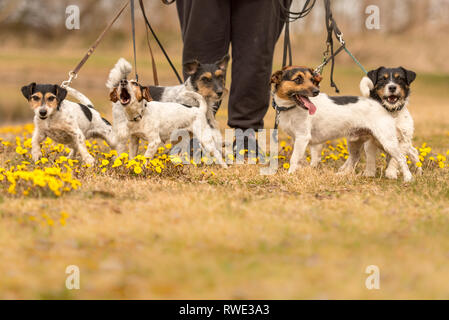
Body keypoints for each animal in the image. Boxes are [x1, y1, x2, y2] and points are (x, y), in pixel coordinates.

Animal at [272, 65, 412, 182]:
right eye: (297, 79)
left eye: (312, 80)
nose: (316, 91)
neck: (291, 108)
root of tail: (380, 104)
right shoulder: (303, 141)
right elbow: (305, 159)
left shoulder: (302, 137)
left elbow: (294, 159)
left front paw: (290, 174)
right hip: (355, 141)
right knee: (355, 158)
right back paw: (343, 174)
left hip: (387, 142)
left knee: (402, 158)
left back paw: (408, 178)